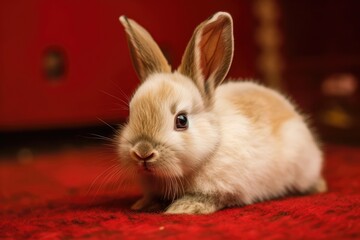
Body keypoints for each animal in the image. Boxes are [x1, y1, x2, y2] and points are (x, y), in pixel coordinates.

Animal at [116, 11, 326, 214]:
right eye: (130, 114)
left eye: (182, 120)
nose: (142, 152)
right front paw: (142, 204)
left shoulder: (226, 188)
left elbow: (211, 197)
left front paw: (183, 208)